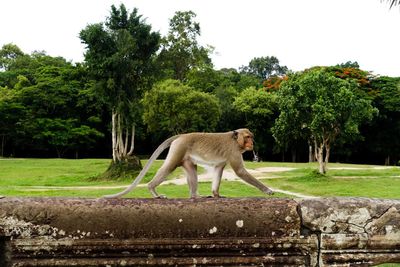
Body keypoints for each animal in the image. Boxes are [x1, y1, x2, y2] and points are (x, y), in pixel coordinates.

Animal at [103, 129, 274, 200]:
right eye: (248, 137)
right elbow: (240, 172)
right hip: (179, 149)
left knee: (192, 170)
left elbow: (218, 169)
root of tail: (181, 136)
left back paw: (195, 195)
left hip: (185, 157)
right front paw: (267, 190)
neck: (235, 141)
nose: (252, 143)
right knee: (169, 167)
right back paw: (154, 191)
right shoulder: (233, 151)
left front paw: (216, 194)